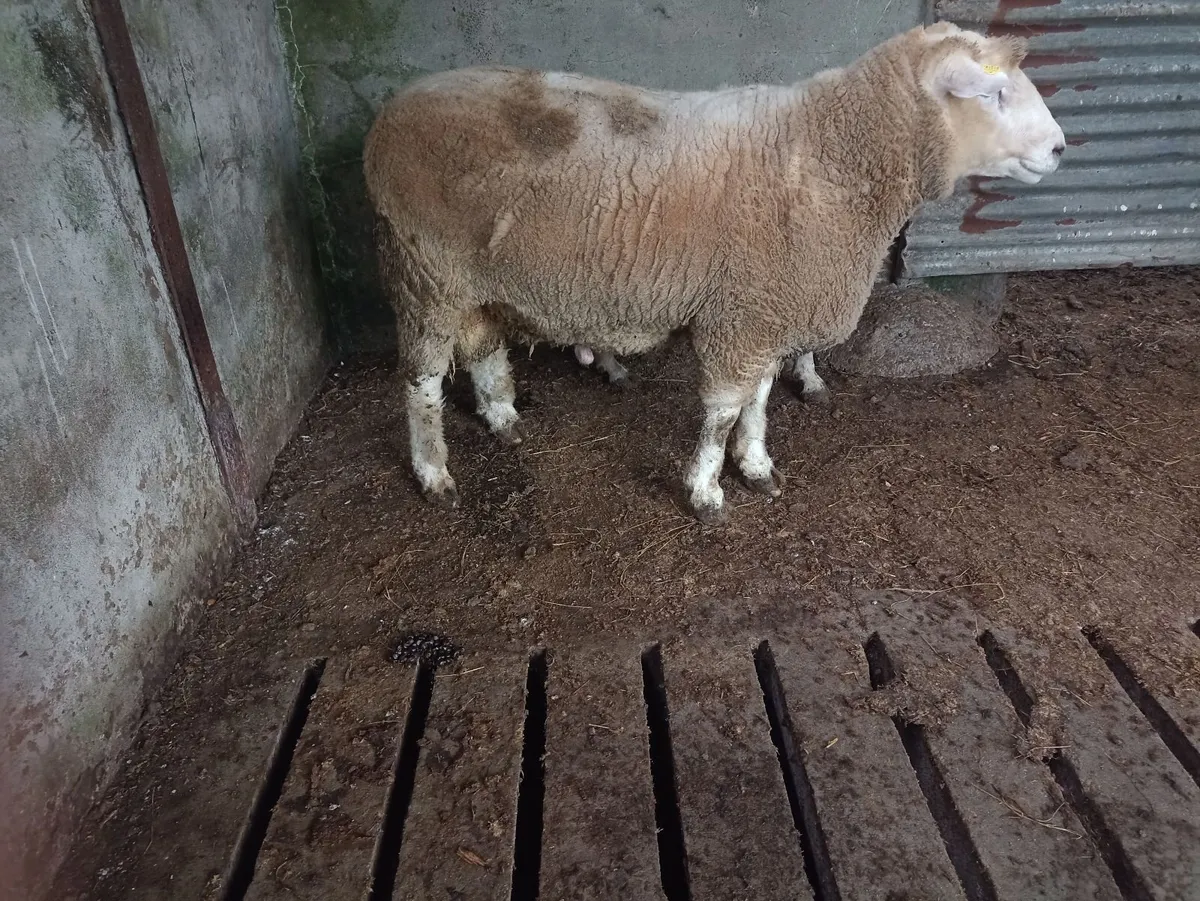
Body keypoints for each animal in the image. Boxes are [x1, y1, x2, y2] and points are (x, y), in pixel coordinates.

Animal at [364, 22, 1064, 523]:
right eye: (995, 92)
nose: (1060, 148)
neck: (832, 152)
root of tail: (387, 119)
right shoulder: (745, 313)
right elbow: (724, 411)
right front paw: (705, 491)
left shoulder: (763, 307)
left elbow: (758, 400)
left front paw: (755, 466)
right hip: (425, 270)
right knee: (421, 384)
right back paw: (434, 474)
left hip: (474, 281)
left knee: (483, 348)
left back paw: (504, 419)